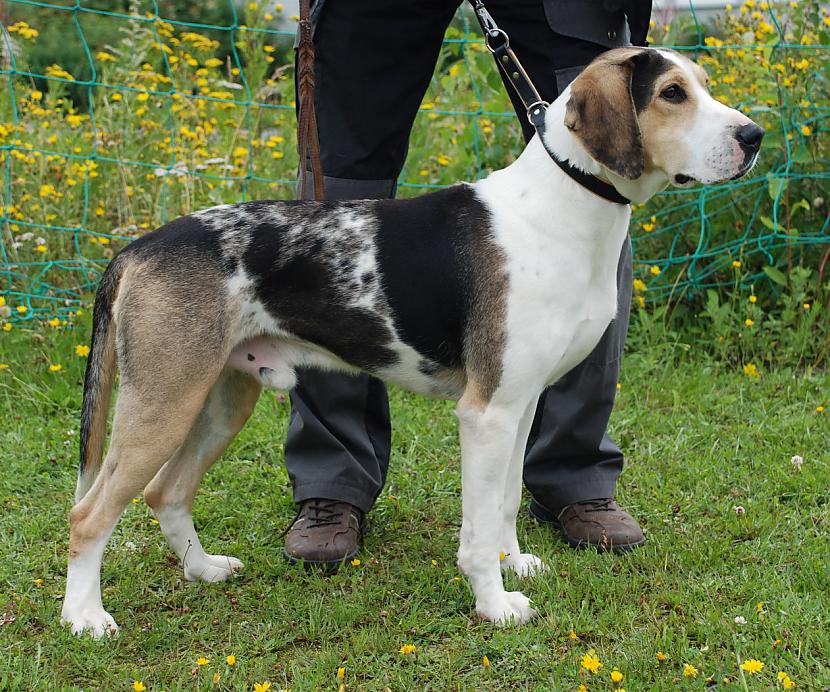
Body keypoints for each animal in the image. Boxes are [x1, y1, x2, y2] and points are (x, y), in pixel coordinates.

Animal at [61, 46, 768, 636]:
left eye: (703, 85)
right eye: (672, 94)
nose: (754, 137)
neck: (563, 206)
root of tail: (137, 248)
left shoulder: (521, 406)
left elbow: (507, 501)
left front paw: (514, 564)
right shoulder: (486, 414)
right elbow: (477, 530)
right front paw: (493, 604)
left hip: (222, 398)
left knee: (166, 492)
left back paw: (203, 569)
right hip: (165, 402)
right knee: (89, 516)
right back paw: (85, 619)